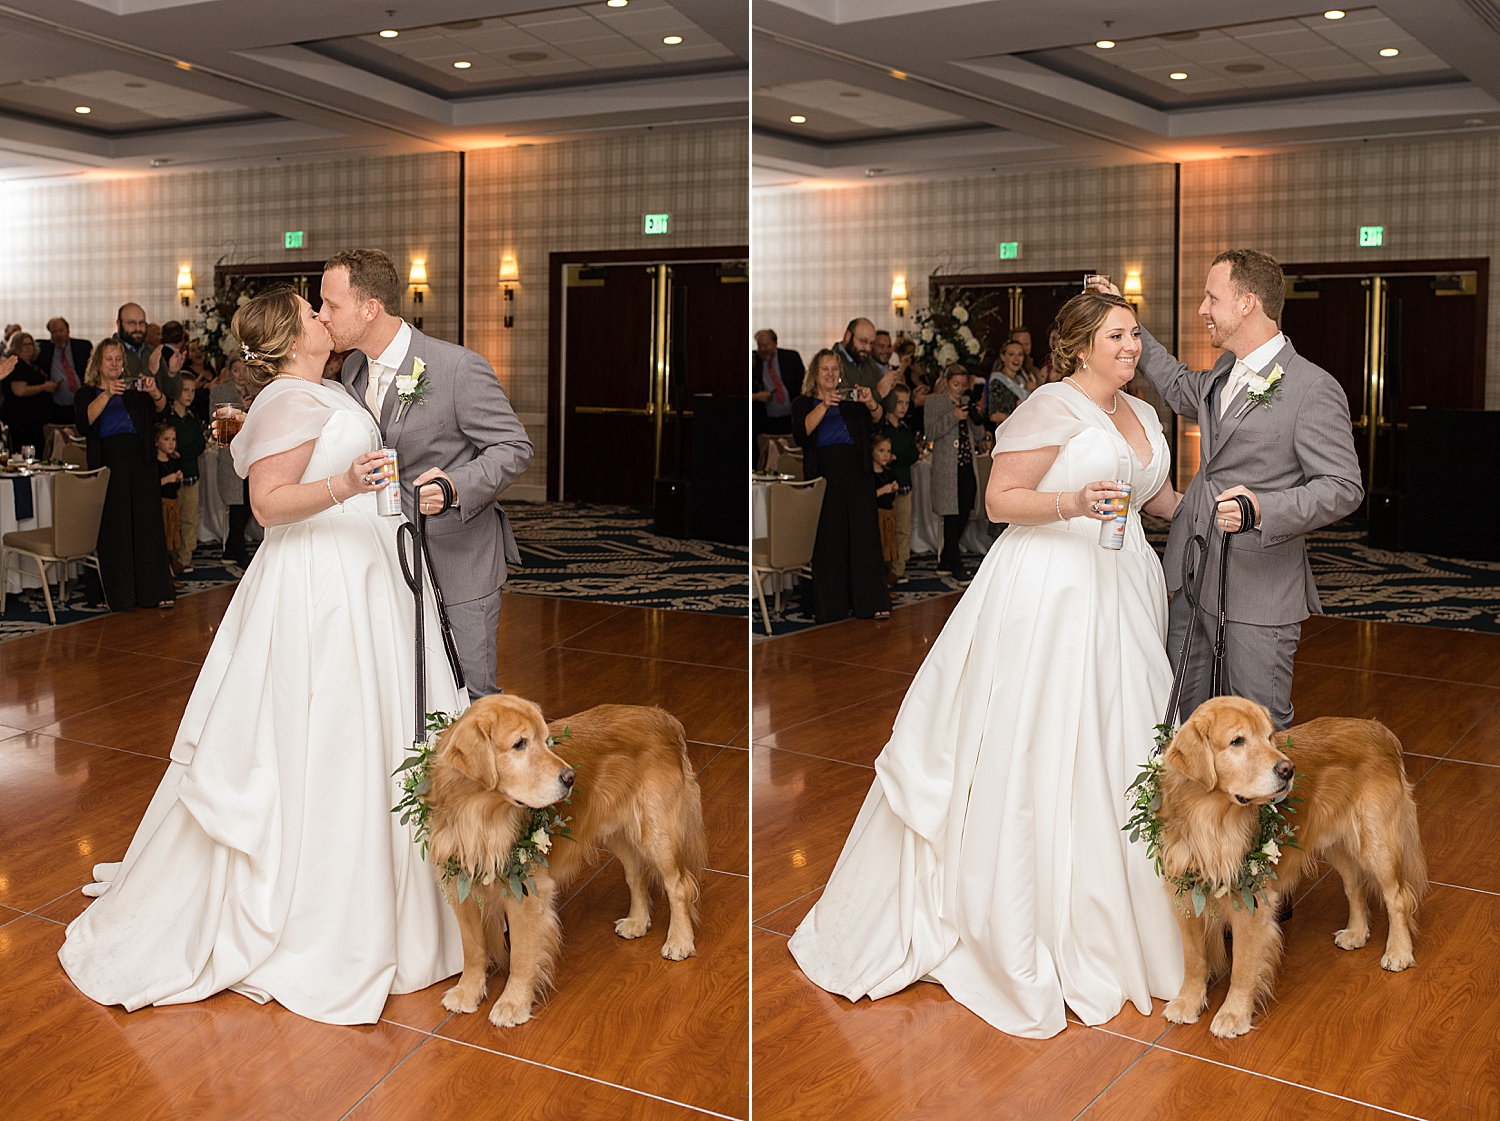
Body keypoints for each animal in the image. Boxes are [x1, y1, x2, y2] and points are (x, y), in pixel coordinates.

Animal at [420, 696, 705, 1032]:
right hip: (618, 832)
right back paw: (637, 921)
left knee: (679, 886)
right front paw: (467, 991)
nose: (571, 778)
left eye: (546, 741)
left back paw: (680, 940)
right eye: (520, 744)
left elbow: (521, 955)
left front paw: (513, 1003)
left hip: (657, 832)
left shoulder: (526, 893)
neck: (480, 816)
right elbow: (472, 948)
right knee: (636, 873)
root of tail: (662, 717)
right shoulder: (459, 884)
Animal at [1152, 696, 1422, 1038]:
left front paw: (1233, 1014)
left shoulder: (1250, 903)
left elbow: (1243, 967)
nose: (1288, 769)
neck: (1211, 822)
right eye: (1237, 741)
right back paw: (1357, 933)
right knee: (1355, 886)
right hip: (1337, 845)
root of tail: (1379, 729)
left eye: (1269, 737)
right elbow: (1193, 959)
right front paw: (1187, 1002)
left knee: (1398, 896)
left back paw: (1399, 952)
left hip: (1376, 842)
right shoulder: (1185, 896)